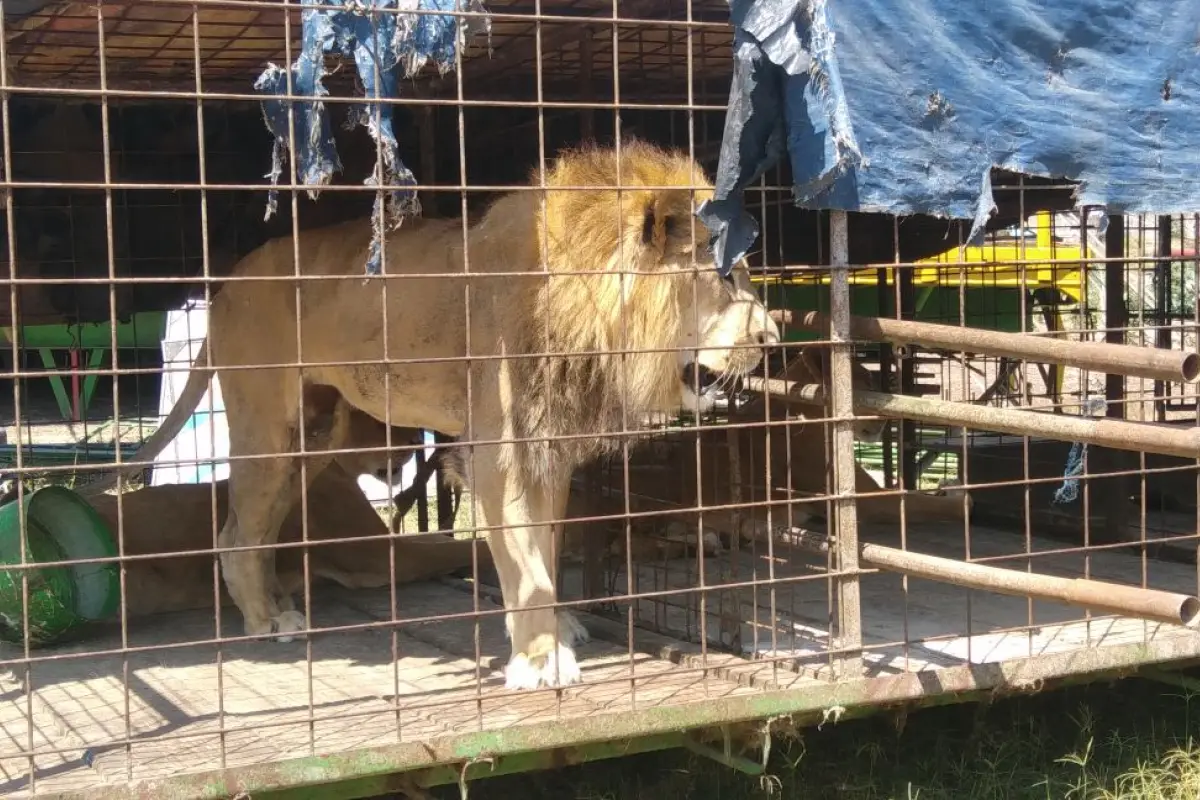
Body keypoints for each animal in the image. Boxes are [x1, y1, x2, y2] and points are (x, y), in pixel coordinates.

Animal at [88, 140, 782, 690]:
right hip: (268, 430)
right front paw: (540, 659)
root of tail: (227, 282)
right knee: (235, 535)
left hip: (313, 437)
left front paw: (556, 629)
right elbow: (527, 566)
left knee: (260, 531)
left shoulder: (547, 447)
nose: (773, 339)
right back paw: (267, 620)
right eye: (727, 279)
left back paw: (279, 600)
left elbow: (547, 548)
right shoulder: (500, 453)